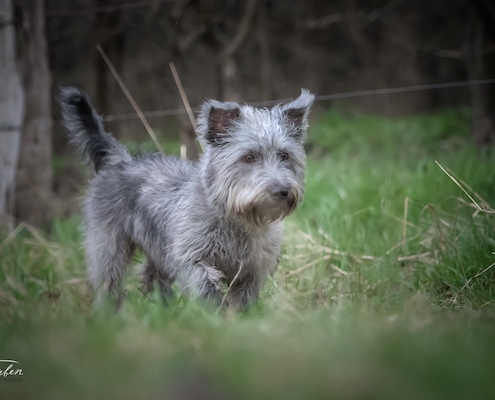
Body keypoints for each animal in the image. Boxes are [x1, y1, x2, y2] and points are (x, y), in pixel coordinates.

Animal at [58, 87, 314, 310]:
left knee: (151, 275)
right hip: (108, 247)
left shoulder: (252, 270)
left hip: (158, 248)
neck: (235, 218)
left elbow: (242, 302)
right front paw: (215, 316)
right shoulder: (190, 259)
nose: (281, 191)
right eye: (249, 157)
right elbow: (206, 288)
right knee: (108, 283)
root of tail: (119, 160)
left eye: (284, 155)